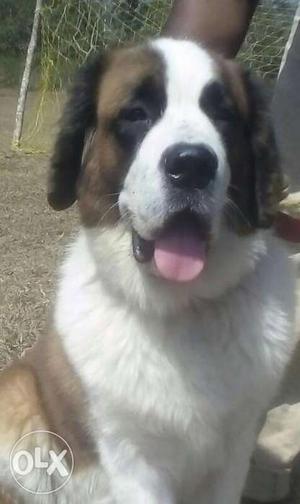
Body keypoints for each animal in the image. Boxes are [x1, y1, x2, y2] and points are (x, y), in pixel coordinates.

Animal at [0, 38, 296, 504]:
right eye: (136, 114)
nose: (192, 165)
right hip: (18, 401)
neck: (182, 307)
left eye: (224, 115)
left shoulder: (234, 453)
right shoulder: (131, 460)